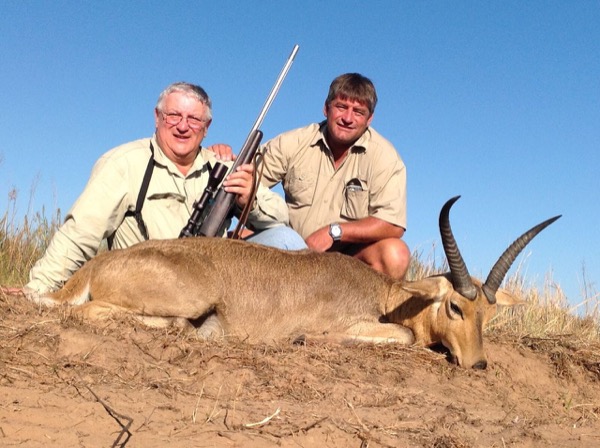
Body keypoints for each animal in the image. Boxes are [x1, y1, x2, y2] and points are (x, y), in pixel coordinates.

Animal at [31, 196, 559, 369]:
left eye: (488, 312)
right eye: (454, 306)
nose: (478, 364)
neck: (388, 297)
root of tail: (101, 263)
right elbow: (407, 337)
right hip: (188, 297)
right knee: (90, 312)